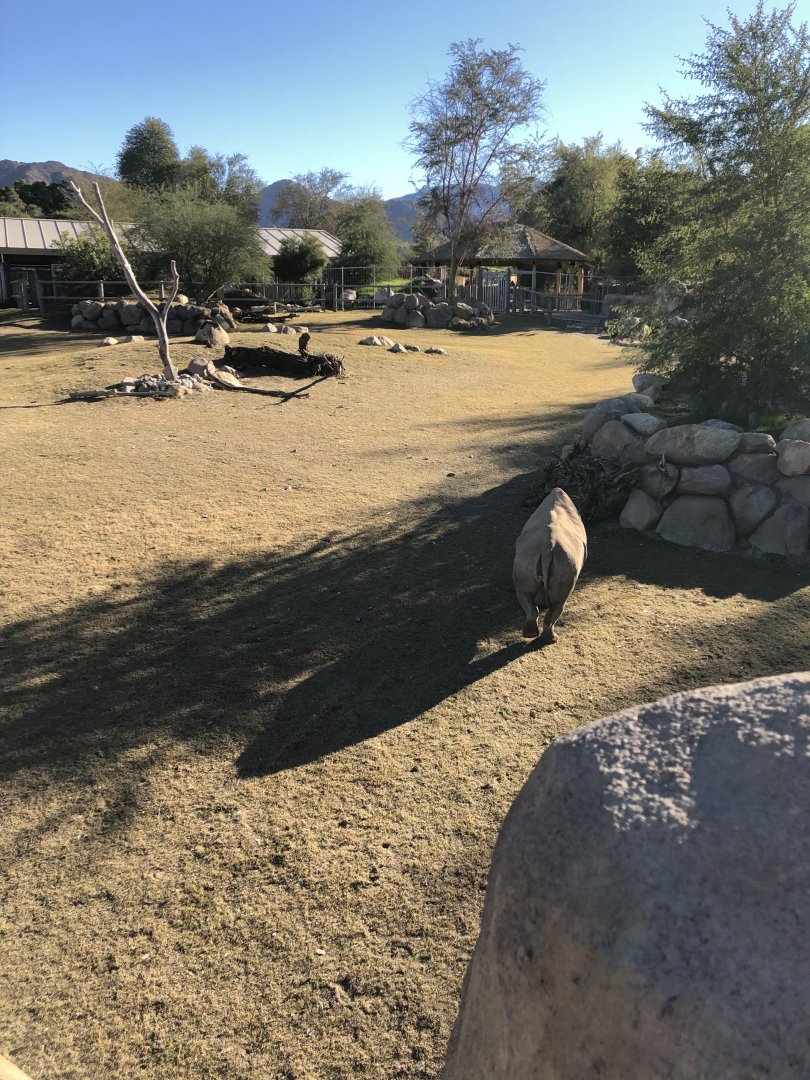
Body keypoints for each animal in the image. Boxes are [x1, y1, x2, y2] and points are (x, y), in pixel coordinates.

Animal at [512, 487, 587, 644]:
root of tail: (548, 547)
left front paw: (541, 602)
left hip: (528, 554)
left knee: (524, 592)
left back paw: (530, 634)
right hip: (565, 560)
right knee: (559, 602)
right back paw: (552, 639)